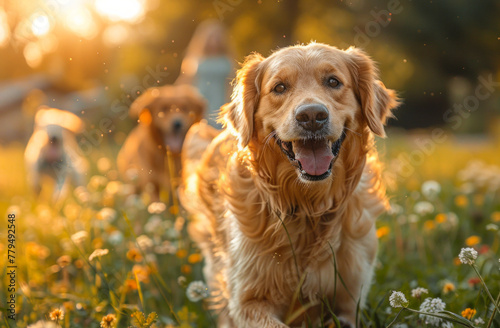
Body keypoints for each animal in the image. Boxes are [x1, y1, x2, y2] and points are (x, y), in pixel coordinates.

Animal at [182, 42, 400, 326]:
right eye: (279, 87)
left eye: (333, 81)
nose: (312, 116)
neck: (308, 207)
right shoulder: (247, 302)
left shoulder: (350, 298)